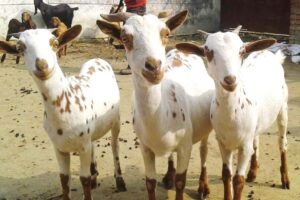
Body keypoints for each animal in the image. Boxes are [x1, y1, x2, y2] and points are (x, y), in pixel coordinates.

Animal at [0, 25, 126, 200]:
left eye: (55, 43)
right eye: (20, 48)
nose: (42, 65)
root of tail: (97, 59)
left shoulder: (83, 146)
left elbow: (84, 179)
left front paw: (90, 184)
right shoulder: (59, 148)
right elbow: (64, 180)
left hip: (116, 120)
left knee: (115, 147)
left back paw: (120, 181)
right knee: (94, 143)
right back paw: (95, 177)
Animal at [97, 11, 214, 200]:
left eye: (166, 33)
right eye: (125, 38)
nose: (153, 67)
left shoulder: (185, 146)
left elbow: (181, 181)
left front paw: (181, 183)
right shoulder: (145, 148)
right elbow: (150, 183)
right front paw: (164, 178)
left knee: (204, 151)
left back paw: (203, 187)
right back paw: (168, 176)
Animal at [177, 27, 290, 200]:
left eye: (241, 51)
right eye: (208, 52)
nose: (230, 79)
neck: (232, 114)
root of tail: (269, 53)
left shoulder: (244, 146)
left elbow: (238, 180)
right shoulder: (223, 143)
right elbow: (227, 175)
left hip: (283, 107)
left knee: (282, 142)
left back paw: (285, 179)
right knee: (257, 140)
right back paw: (253, 172)